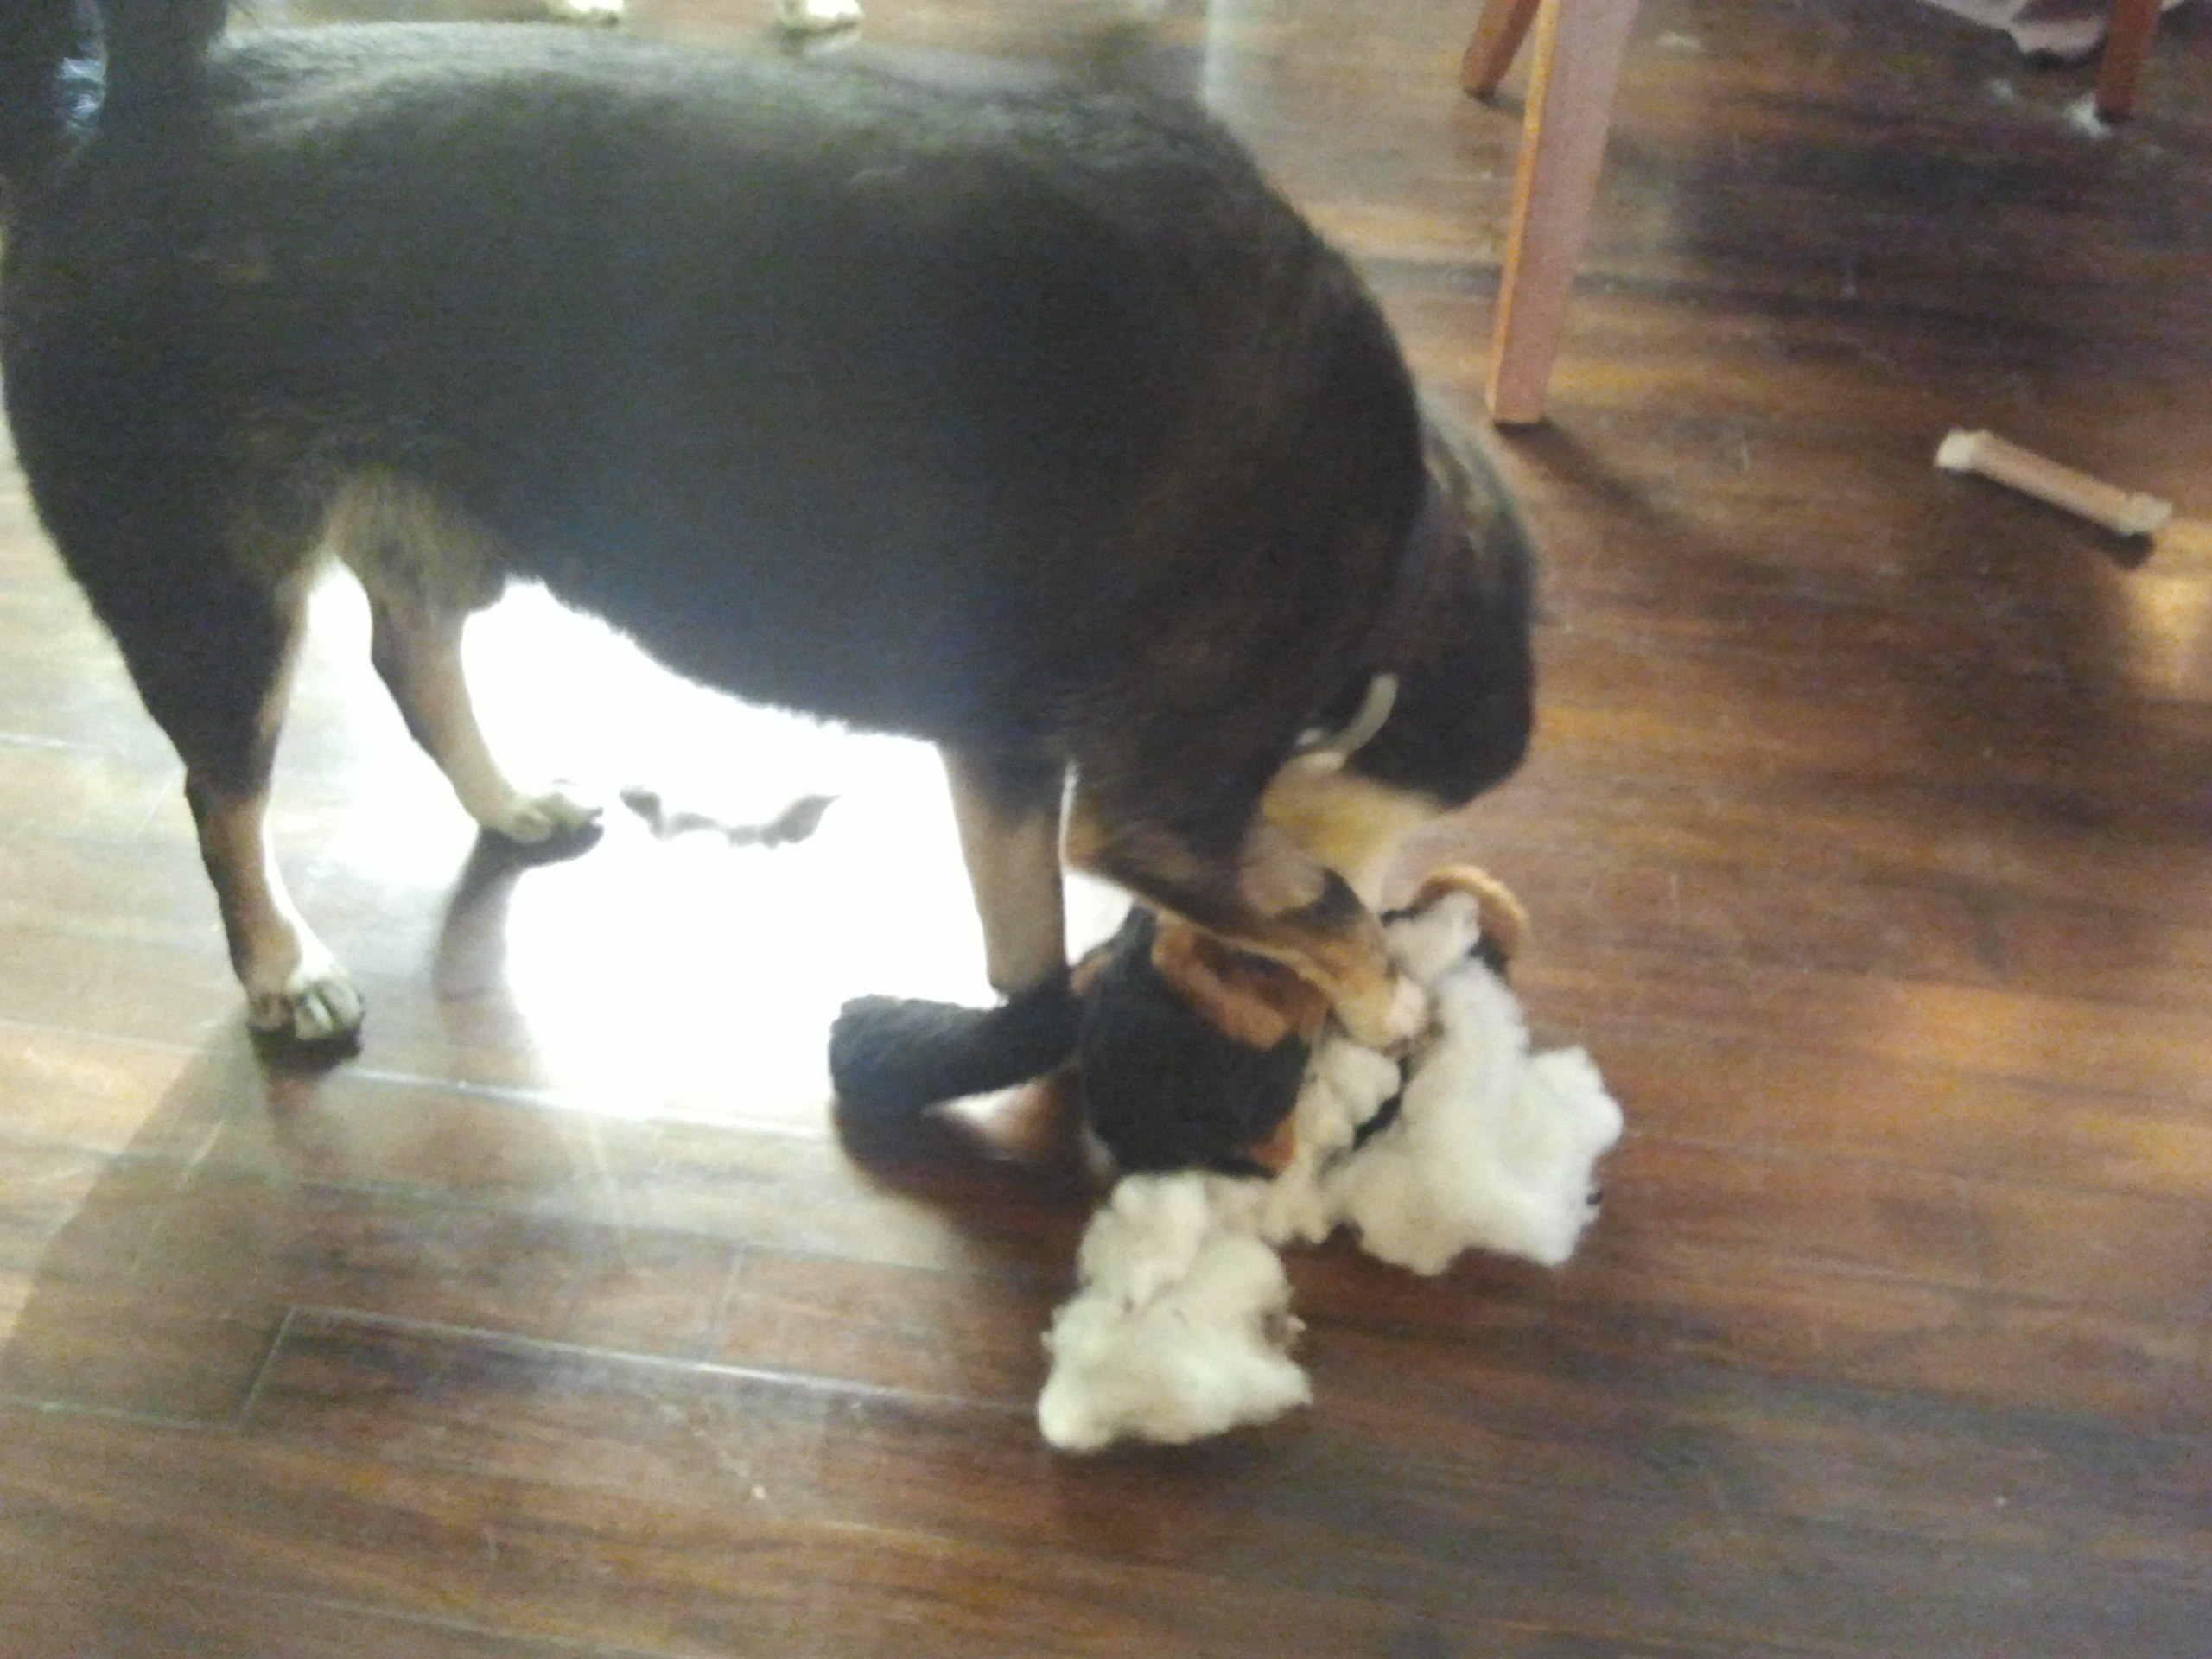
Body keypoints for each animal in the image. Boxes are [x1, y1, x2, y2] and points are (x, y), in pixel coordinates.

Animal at [0, 0, 1533, 1060]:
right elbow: (1311, 902)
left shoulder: (1002, 746)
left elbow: (1027, 944)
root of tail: (156, 105)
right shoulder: (1164, 807)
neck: (1401, 540)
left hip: (426, 526)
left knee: (412, 662)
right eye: (1398, 831)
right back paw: (280, 964)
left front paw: (1025, 1024)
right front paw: (1385, 998)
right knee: (222, 797)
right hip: (207, 587)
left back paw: (506, 800)